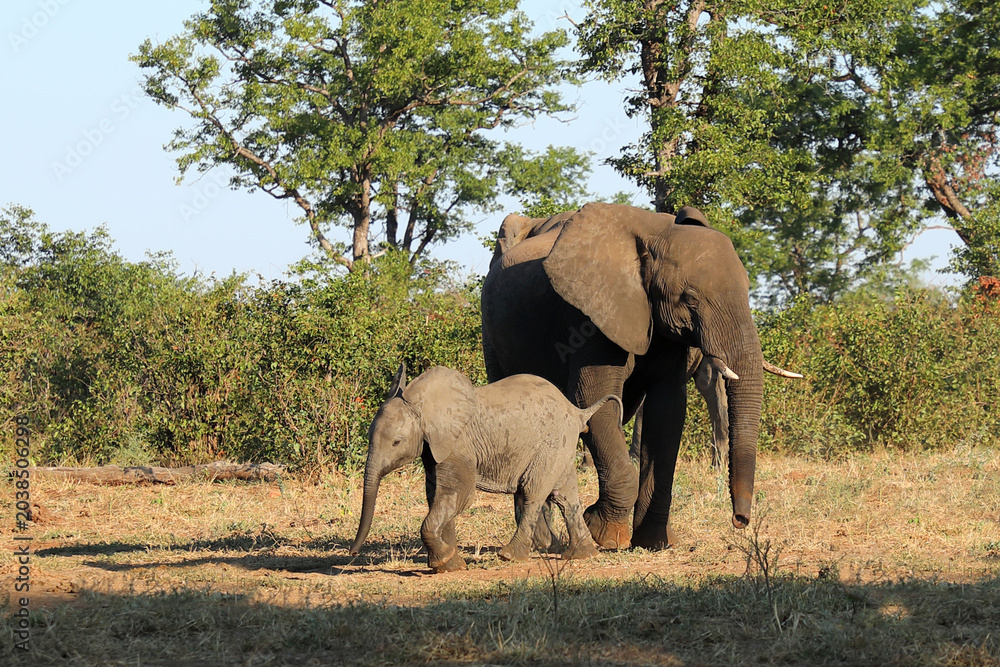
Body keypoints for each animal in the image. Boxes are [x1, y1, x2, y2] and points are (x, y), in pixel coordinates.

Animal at [349, 364, 621, 572]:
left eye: (396, 442)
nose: (352, 553)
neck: (423, 404)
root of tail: (576, 411)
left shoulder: (458, 444)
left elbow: (459, 493)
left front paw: (443, 561)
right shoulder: (433, 446)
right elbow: (437, 495)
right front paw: (451, 565)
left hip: (551, 444)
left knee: (533, 493)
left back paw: (510, 556)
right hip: (560, 446)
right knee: (565, 496)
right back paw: (581, 555)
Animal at [481, 202, 767, 551]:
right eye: (689, 297)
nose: (740, 521)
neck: (655, 237)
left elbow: (668, 411)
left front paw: (654, 541)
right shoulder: (588, 317)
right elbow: (594, 398)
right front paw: (603, 534)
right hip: (492, 336)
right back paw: (543, 544)